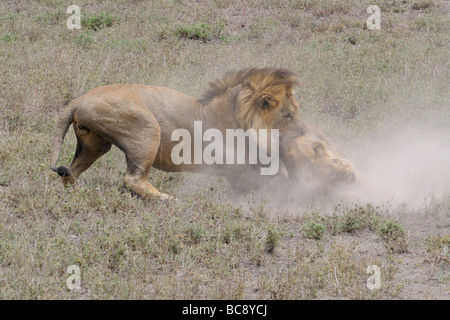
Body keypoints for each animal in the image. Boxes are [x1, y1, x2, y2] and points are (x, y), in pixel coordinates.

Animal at [49, 67, 358, 198]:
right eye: (289, 114)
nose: (308, 130)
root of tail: (79, 99)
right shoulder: (244, 170)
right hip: (146, 128)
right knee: (132, 179)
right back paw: (169, 200)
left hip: (94, 143)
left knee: (70, 172)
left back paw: (78, 192)